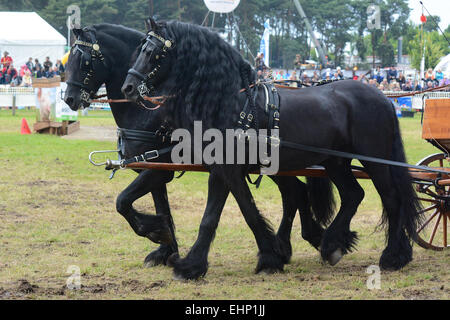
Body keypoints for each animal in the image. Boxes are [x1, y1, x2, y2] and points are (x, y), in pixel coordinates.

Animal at [62, 23, 334, 272]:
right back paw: (301, 242)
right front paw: (166, 247)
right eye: (68, 59)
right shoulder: (155, 169)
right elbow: (161, 208)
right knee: (296, 192)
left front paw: (158, 235)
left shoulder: (159, 167)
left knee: (294, 193)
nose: (69, 98)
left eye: (84, 60)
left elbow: (123, 201)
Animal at [122, 18, 422, 278]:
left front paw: (195, 265)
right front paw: (266, 256)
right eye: (139, 49)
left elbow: (227, 214)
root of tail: (383, 97)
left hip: (376, 160)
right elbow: (234, 212)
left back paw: (393, 256)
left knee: (392, 200)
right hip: (335, 162)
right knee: (353, 194)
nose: (128, 87)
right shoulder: (223, 169)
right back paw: (332, 245)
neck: (229, 102)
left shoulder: (226, 168)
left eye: (152, 52)